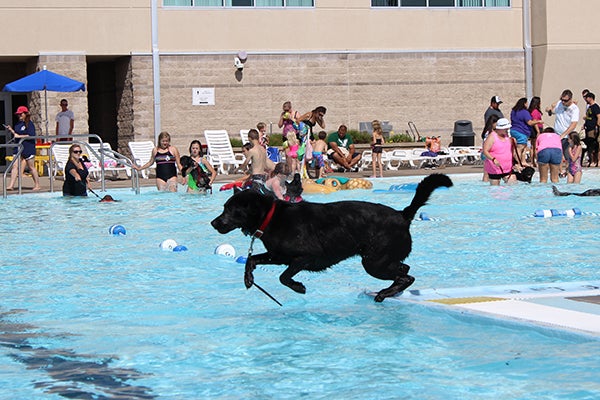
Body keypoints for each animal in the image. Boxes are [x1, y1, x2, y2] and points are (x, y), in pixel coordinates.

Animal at [211, 173, 450, 302]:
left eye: (231, 210)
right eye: (224, 208)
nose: (214, 223)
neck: (270, 216)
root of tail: (403, 214)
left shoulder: (304, 257)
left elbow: (284, 277)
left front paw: (299, 287)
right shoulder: (278, 256)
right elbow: (252, 259)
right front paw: (248, 279)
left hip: (374, 262)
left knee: (407, 276)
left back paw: (385, 293)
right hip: (380, 260)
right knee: (405, 271)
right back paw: (389, 292)